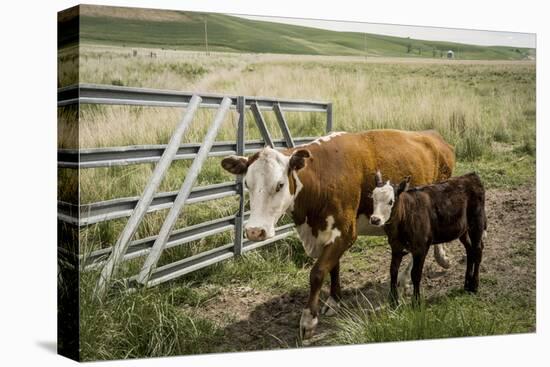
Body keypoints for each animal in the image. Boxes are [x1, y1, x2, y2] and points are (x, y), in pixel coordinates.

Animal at [223, 129, 458, 340]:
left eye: (280, 185)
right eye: (247, 184)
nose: (254, 231)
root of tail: (433, 135)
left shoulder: (346, 232)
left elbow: (318, 272)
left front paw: (309, 320)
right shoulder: (327, 233)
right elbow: (333, 267)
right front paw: (334, 299)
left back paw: (420, 269)